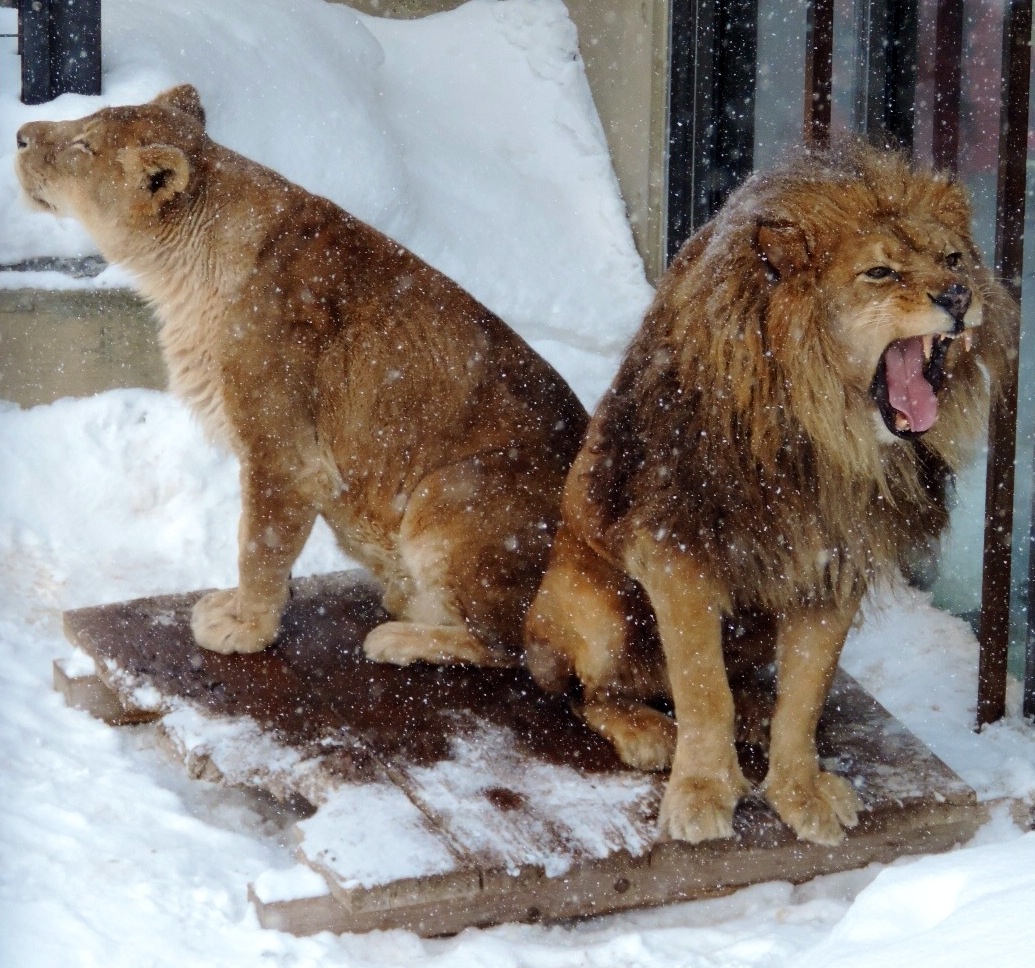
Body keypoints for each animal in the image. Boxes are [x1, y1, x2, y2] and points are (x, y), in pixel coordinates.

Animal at [16, 86, 587, 666]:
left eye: (84, 146)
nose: (19, 135)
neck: (182, 275)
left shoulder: (281, 450)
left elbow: (258, 543)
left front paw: (245, 627)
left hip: (452, 490)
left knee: (515, 648)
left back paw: (401, 636)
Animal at [529, 139, 1014, 844]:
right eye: (879, 272)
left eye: (953, 259)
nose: (958, 293)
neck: (825, 435)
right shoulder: (677, 549)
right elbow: (702, 688)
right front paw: (703, 793)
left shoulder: (833, 565)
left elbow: (805, 694)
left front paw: (798, 791)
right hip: (590, 601)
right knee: (590, 690)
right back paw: (646, 729)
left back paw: (756, 707)